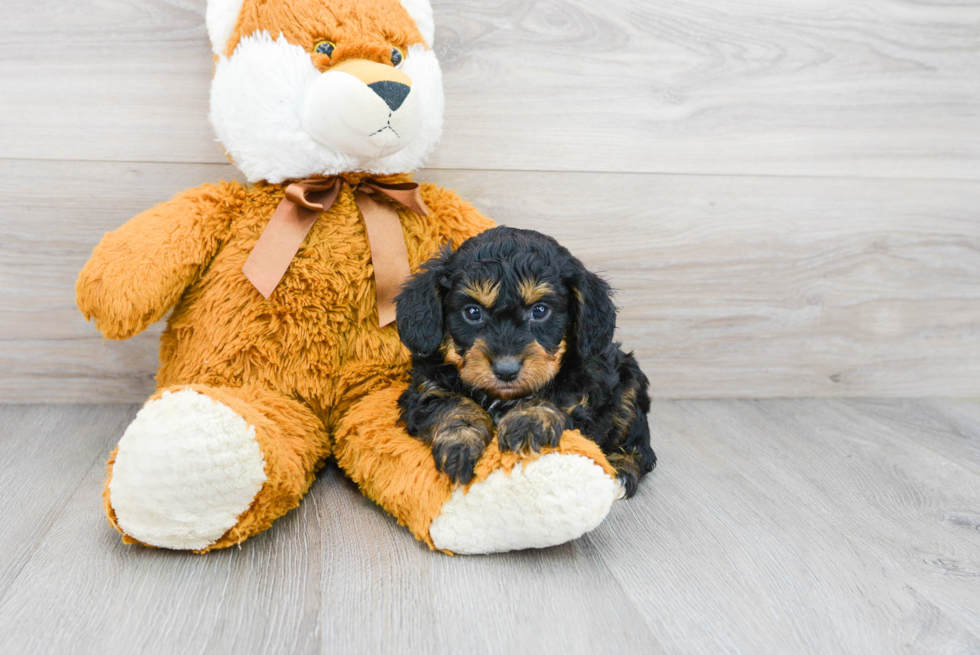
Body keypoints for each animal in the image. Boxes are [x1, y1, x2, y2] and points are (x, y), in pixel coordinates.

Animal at [394, 226, 656, 498]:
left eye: (539, 311)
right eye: (473, 312)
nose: (506, 370)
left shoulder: (584, 391)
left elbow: (556, 397)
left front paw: (528, 420)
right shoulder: (426, 387)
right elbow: (450, 403)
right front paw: (461, 443)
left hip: (629, 385)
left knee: (640, 446)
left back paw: (621, 471)